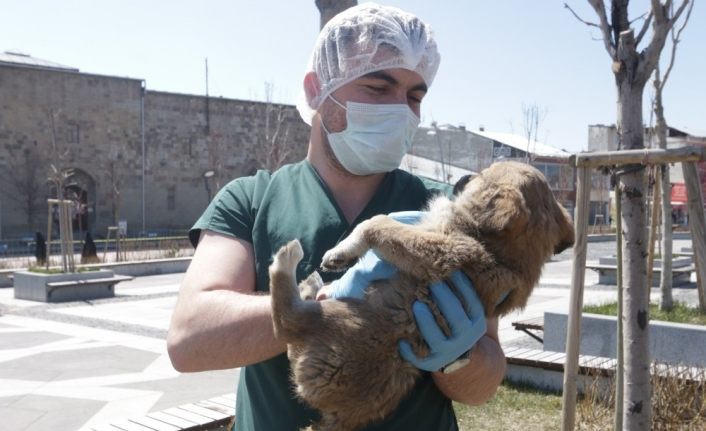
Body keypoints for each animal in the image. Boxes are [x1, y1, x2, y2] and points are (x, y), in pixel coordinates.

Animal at [268, 162, 572, 431]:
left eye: (482, 174)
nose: (463, 178)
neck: (501, 248)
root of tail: (338, 418)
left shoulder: (439, 251)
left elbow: (376, 222)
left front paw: (341, 252)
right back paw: (308, 283)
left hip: (333, 320)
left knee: (286, 319)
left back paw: (288, 260)